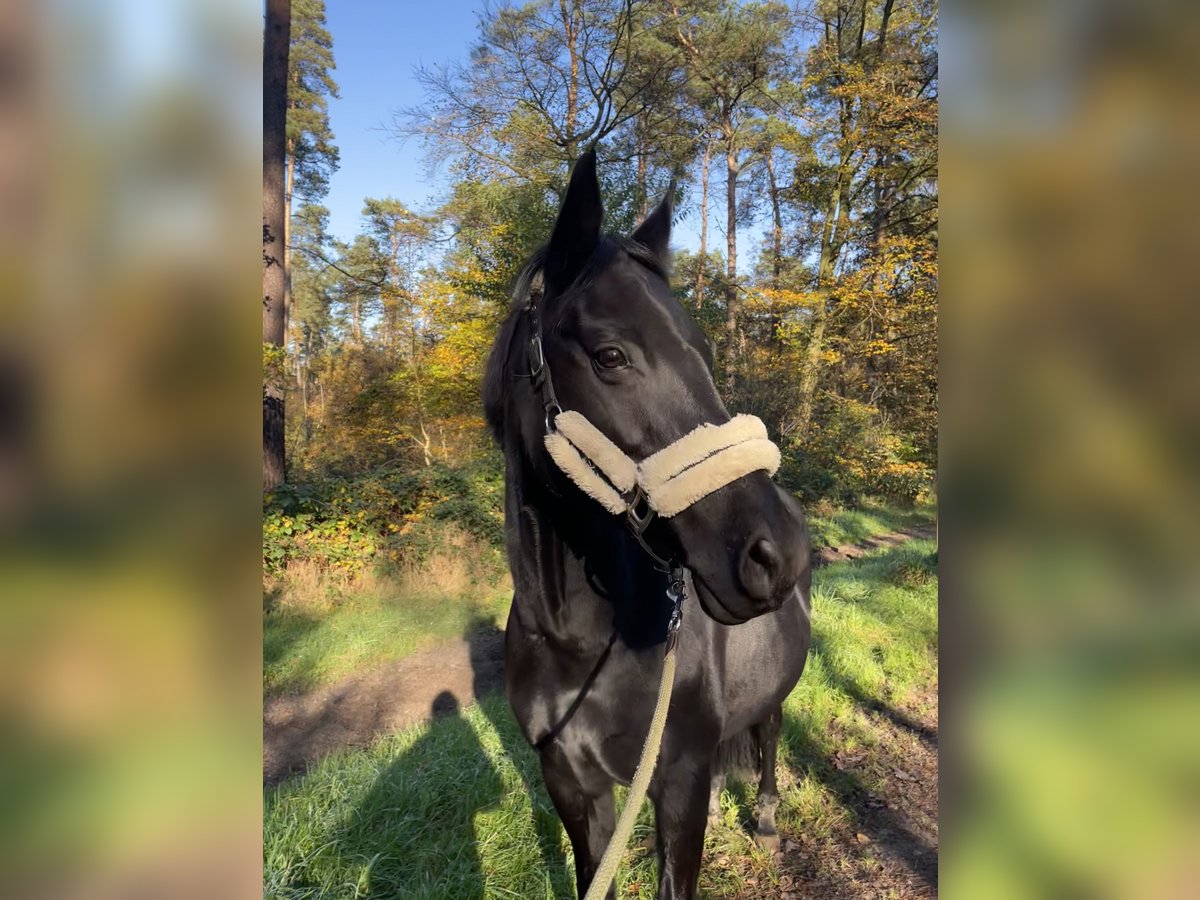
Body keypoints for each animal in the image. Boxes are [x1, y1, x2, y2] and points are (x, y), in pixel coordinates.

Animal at [482, 151, 811, 897]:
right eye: (610, 356)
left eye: (705, 355)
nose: (776, 554)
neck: (576, 639)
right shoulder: (573, 787)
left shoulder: (675, 788)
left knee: (769, 736)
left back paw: (767, 822)